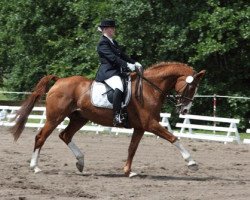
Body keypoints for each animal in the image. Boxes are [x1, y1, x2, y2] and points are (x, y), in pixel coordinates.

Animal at [10, 62, 205, 177]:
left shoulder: (140, 127)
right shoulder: (150, 124)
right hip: (55, 117)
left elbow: (132, 148)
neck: (149, 89)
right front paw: (192, 162)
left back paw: (80, 162)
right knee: (41, 137)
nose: (184, 110)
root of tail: (59, 80)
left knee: (65, 135)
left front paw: (128, 171)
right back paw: (35, 167)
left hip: (79, 118)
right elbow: (173, 138)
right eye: (191, 87)